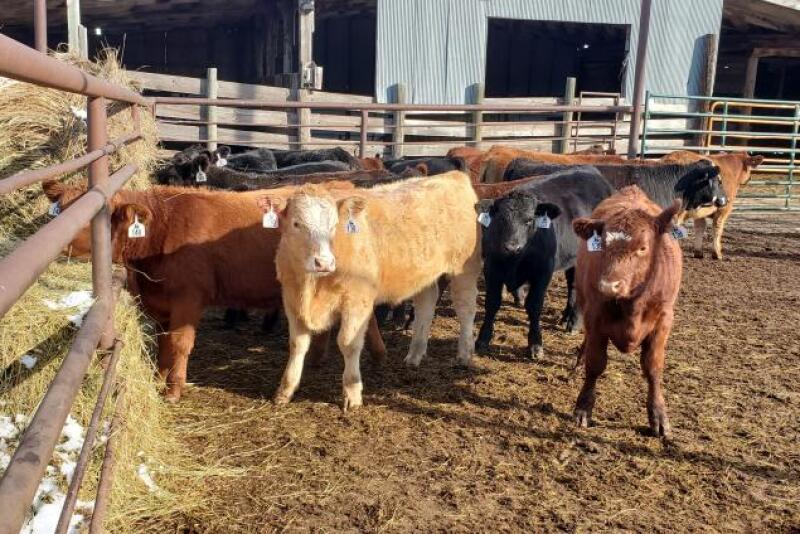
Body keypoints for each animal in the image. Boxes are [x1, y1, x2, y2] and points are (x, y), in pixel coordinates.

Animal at [42, 180, 386, 403]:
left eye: (91, 218)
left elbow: (180, 344)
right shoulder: (160, 303)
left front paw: (174, 389)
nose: (49, 237)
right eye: (59, 208)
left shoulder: (188, 299)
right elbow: (163, 343)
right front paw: (158, 379)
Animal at [258, 171, 482, 410]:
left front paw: (352, 393)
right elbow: (297, 345)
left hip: (465, 268)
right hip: (424, 274)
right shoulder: (291, 299)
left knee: (466, 308)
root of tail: (453, 176)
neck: (312, 285)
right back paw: (414, 356)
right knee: (426, 306)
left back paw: (464, 354)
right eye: (296, 223)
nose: (324, 262)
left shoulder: (357, 300)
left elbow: (348, 343)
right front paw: (285, 390)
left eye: (334, 225)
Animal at [475, 167, 616, 358]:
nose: (512, 247)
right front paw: (483, 339)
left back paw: (574, 322)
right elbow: (492, 303)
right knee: (572, 284)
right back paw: (566, 316)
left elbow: (534, 306)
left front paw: (535, 344)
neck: (514, 261)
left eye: (529, 220)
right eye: (501, 219)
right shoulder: (492, 269)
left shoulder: (542, 272)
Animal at [571, 186, 683, 437]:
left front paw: (658, 416)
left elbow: (653, 368)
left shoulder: (664, 320)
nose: (607, 286)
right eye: (602, 245)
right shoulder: (594, 316)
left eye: (642, 247)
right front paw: (583, 407)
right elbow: (595, 363)